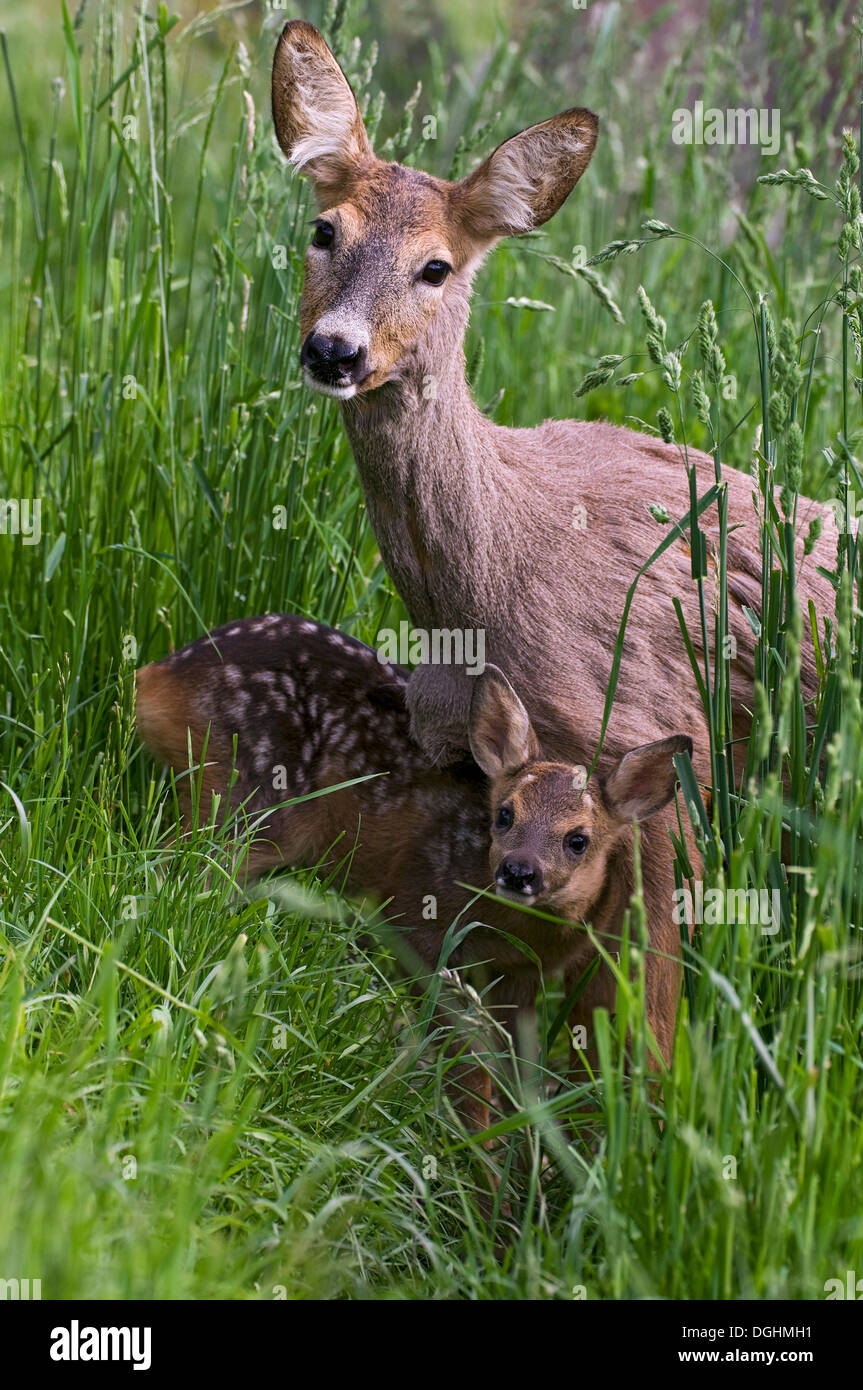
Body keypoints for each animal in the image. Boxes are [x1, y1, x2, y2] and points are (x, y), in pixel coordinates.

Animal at [135, 613, 693, 1124]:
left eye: (579, 840)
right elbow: (466, 1055)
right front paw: (473, 1146)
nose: (517, 871)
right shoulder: (417, 913)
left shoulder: (519, 975)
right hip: (244, 803)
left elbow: (518, 1070)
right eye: (504, 814)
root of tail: (157, 676)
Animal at [269, 19, 839, 1058]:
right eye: (325, 231)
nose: (334, 350)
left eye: (436, 267)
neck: (482, 595)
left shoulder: (664, 745)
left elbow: (654, 963)